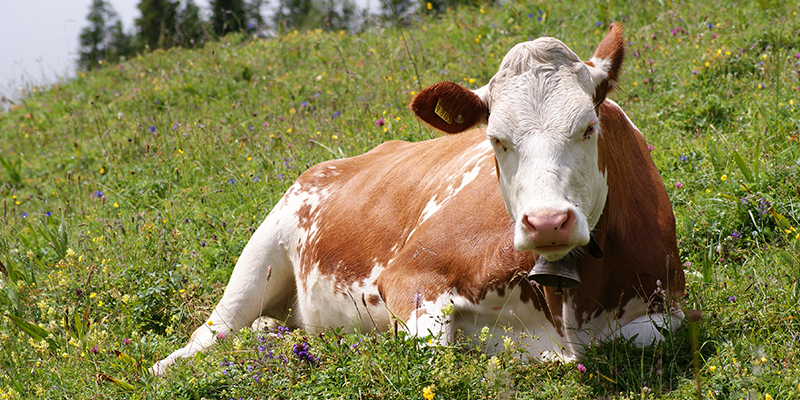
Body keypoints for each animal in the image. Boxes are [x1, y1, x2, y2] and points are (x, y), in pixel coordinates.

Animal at [152, 22, 688, 376]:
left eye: (588, 127)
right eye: (496, 139)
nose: (547, 222)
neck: (568, 305)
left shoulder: (671, 307)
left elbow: (646, 337)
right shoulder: (410, 276)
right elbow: (433, 351)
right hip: (262, 250)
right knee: (212, 332)